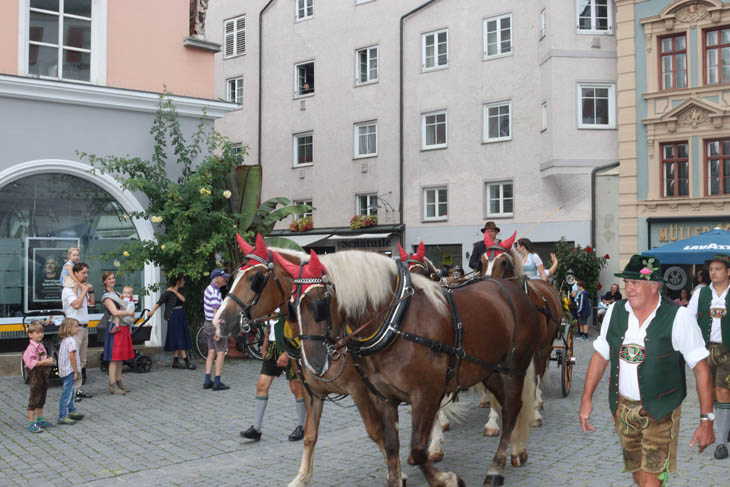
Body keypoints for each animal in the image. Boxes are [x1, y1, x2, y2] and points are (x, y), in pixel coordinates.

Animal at [210, 234, 404, 486]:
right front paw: (302, 476)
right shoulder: (313, 390)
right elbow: (311, 435)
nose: (219, 321)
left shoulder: (360, 390)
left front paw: (397, 472)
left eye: (254, 278)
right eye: (233, 277)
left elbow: (376, 431)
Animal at [278, 250, 540, 486]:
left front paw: (445, 479)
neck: (396, 322)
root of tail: (510, 288)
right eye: (290, 308)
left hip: (513, 368)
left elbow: (417, 449)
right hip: (489, 371)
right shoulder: (382, 396)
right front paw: (397, 479)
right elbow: (392, 444)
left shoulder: (426, 394)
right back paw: (517, 450)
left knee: (511, 409)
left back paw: (497, 467)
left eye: (320, 303)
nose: (313, 363)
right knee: (511, 406)